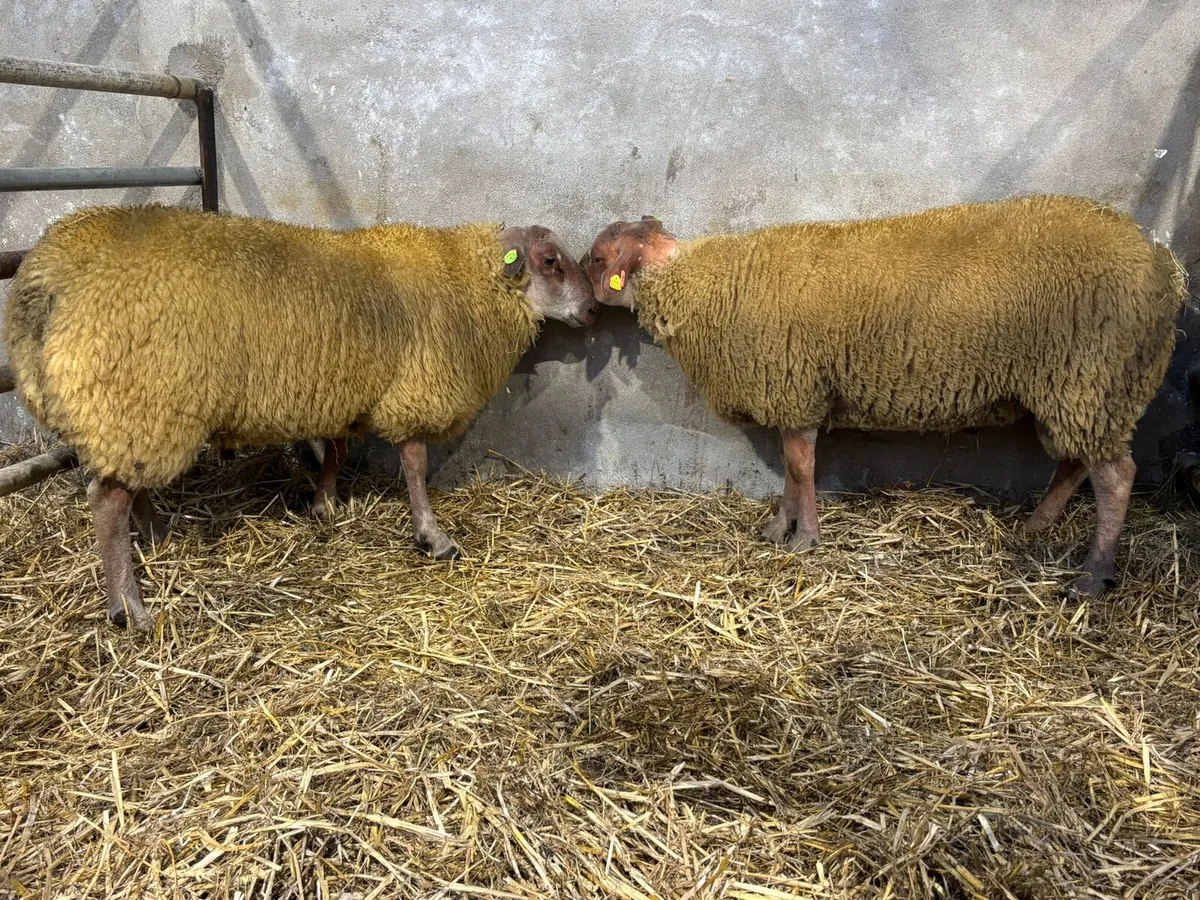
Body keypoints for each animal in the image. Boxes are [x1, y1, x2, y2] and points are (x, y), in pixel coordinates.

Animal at [5, 204, 598, 629]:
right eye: (551, 261)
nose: (593, 309)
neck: (466, 283)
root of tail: (40, 281)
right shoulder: (412, 393)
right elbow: (414, 467)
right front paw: (432, 535)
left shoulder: (340, 392)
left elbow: (335, 449)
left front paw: (324, 503)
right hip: (138, 400)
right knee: (107, 502)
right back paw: (129, 607)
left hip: (134, 414)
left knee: (127, 485)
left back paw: (156, 533)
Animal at [582, 195, 1187, 595]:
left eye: (595, 259)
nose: (586, 309)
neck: (699, 282)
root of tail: (1165, 266)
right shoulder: (793, 392)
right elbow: (790, 467)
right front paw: (779, 529)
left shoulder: (795, 385)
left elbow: (801, 468)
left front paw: (803, 539)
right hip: (1081, 389)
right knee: (1077, 464)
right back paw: (1036, 526)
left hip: (1092, 377)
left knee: (1115, 477)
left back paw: (1092, 575)